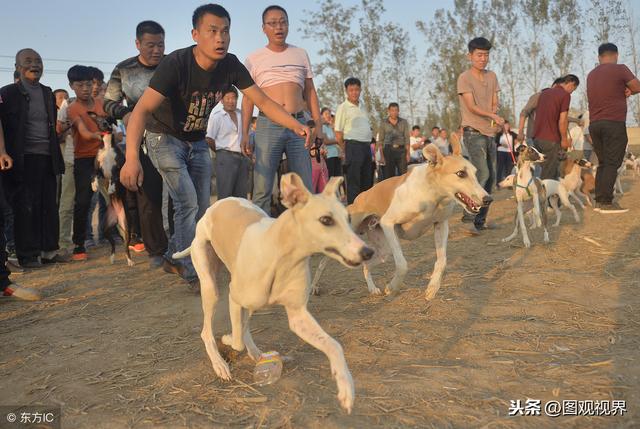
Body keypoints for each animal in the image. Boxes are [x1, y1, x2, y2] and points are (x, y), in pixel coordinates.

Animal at [175, 172, 376, 412]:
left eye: (348, 218)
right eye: (326, 220)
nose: (368, 252)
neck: (280, 254)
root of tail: (214, 207)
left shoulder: (298, 316)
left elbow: (334, 345)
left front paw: (346, 387)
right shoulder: (234, 298)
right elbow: (236, 340)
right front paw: (227, 339)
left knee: (244, 326)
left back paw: (257, 354)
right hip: (211, 287)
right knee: (207, 331)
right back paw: (220, 363)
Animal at [310, 144, 490, 300]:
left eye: (475, 172)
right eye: (460, 173)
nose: (488, 199)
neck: (431, 193)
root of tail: (358, 198)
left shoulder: (441, 225)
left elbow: (442, 261)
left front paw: (432, 288)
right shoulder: (388, 223)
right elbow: (403, 264)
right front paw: (392, 287)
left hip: (383, 251)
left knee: (366, 266)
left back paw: (373, 289)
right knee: (322, 263)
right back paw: (314, 287)